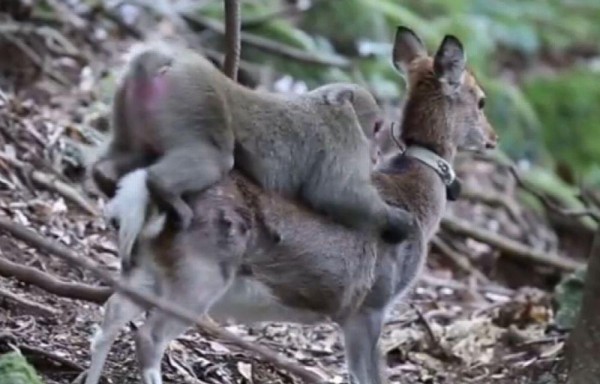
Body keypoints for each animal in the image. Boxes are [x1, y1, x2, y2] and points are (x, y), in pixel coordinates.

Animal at [83, 26, 496, 384]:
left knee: (110, 315)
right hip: (200, 271)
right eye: (481, 100)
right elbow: (368, 377)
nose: (492, 140)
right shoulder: (370, 304)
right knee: (148, 337)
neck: (417, 195)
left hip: (148, 264)